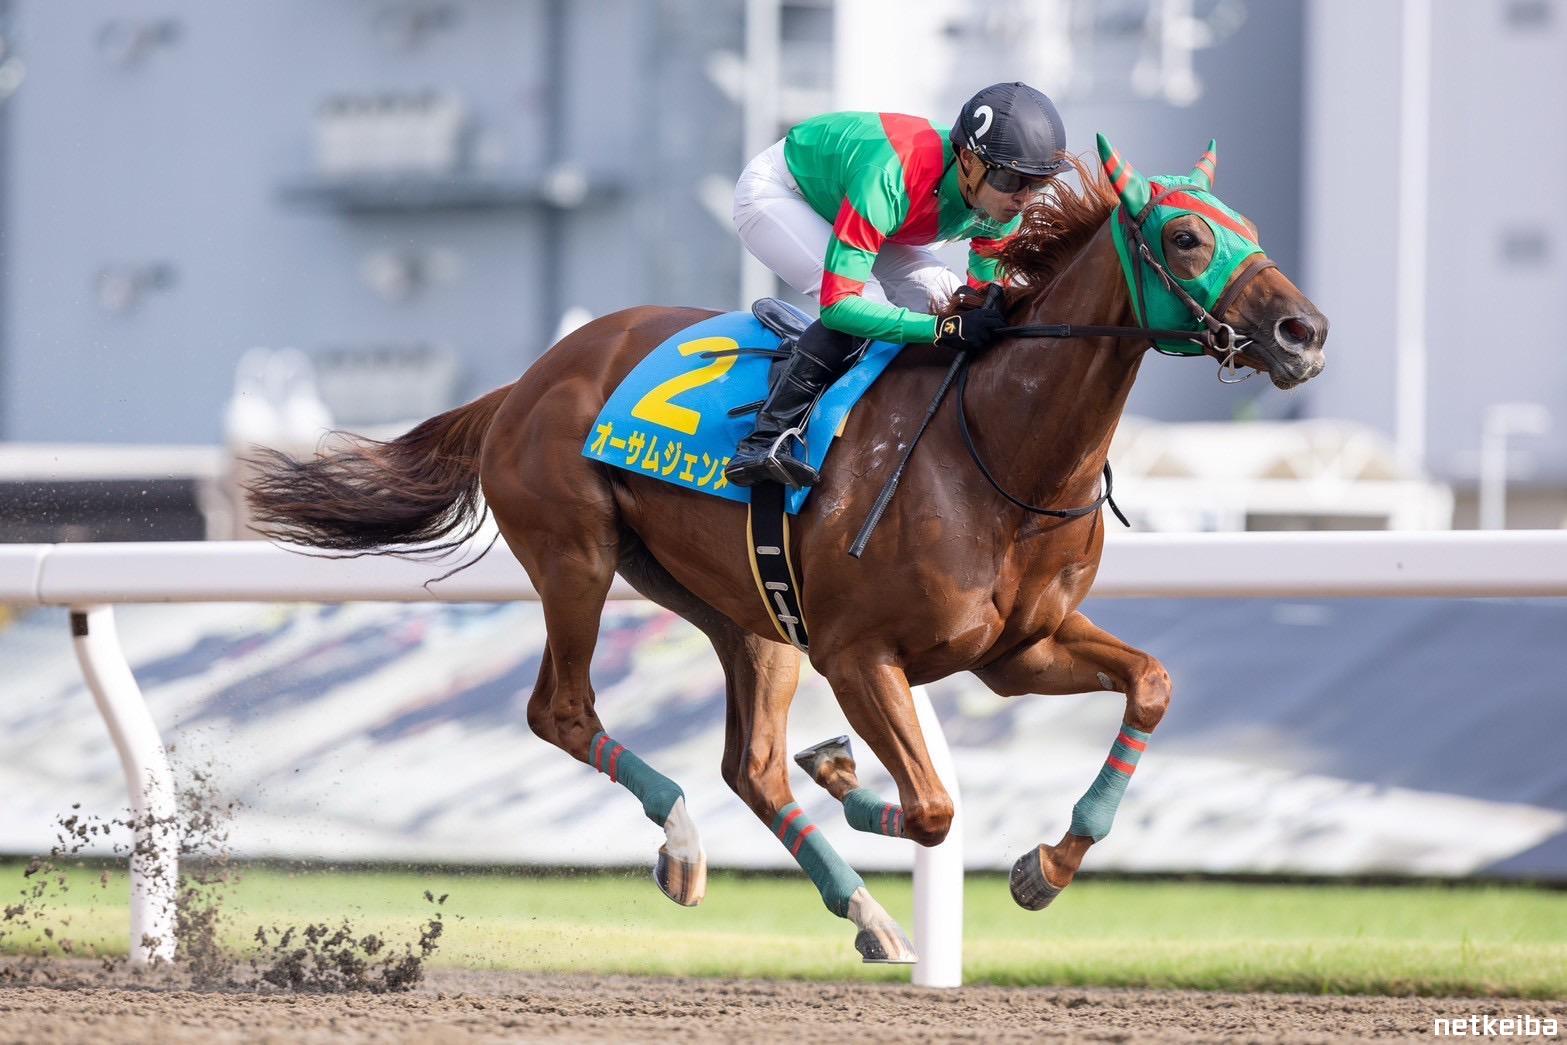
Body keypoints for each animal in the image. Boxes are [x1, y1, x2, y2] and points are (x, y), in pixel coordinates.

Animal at [246, 137, 1328, 964]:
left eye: (1251, 230)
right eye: (1185, 236)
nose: (1303, 331)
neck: (998, 446)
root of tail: (527, 380)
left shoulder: (1018, 650)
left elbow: (1150, 684)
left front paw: (1046, 865)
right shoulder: (859, 655)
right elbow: (932, 808)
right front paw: (850, 774)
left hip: (744, 610)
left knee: (753, 766)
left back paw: (864, 911)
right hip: (576, 556)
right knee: (564, 708)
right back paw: (687, 840)